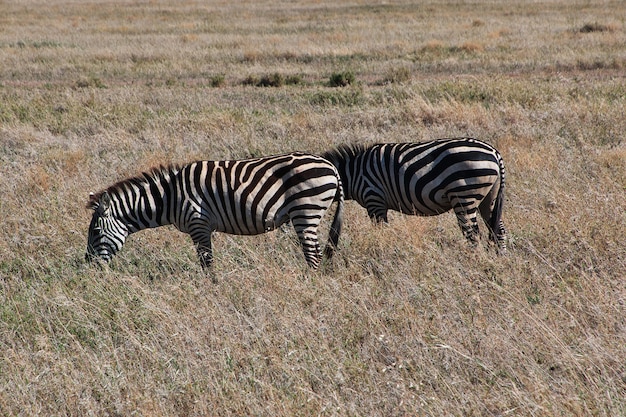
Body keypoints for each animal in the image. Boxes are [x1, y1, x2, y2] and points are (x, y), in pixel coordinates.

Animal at [85, 151, 344, 274]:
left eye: (95, 231)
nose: (87, 267)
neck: (169, 197)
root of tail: (331, 167)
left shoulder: (198, 224)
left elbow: (206, 262)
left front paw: (211, 287)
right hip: (308, 214)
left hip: (306, 211)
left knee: (313, 255)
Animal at [320, 138, 504, 252]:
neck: (353, 173)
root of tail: (494, 152)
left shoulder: (374, 199)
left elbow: (382, 232)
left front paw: (381, 251)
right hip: (489, 197)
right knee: (498, 230)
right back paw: (498, 259)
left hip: (465, 196)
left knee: (473, 235)